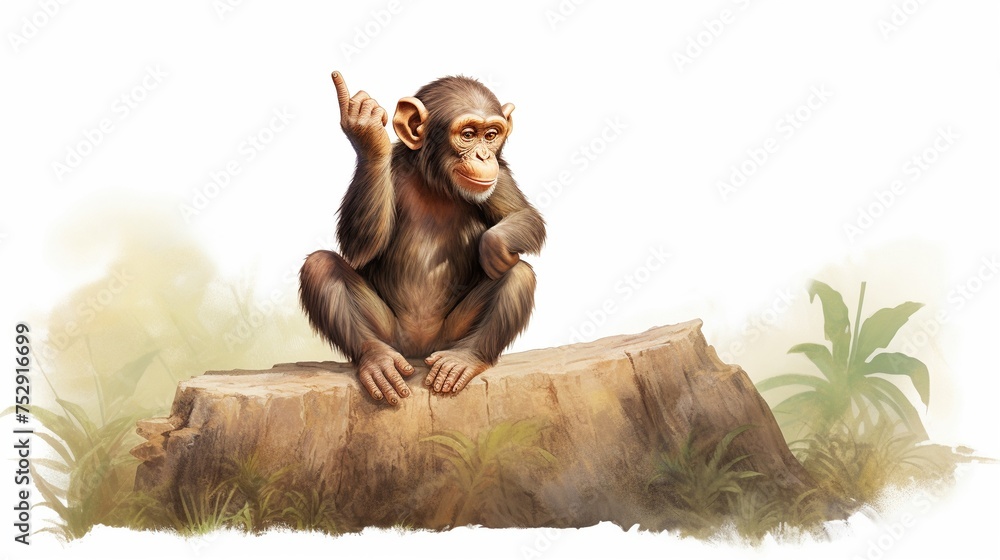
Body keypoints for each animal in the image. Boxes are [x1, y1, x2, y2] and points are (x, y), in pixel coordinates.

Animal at [299, 72, 545, 406]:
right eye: (468, 134)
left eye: (492, 135)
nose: (483, 155)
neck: (434, 183)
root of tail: (418, 353)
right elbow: (359, 248)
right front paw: (367, 129)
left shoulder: (501, 176)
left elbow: (524, 214)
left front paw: (496, 245)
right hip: (390, 334)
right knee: (320, 266)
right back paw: (376, 359)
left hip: (451, 335)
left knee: (519, 274)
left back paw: (466, 358)